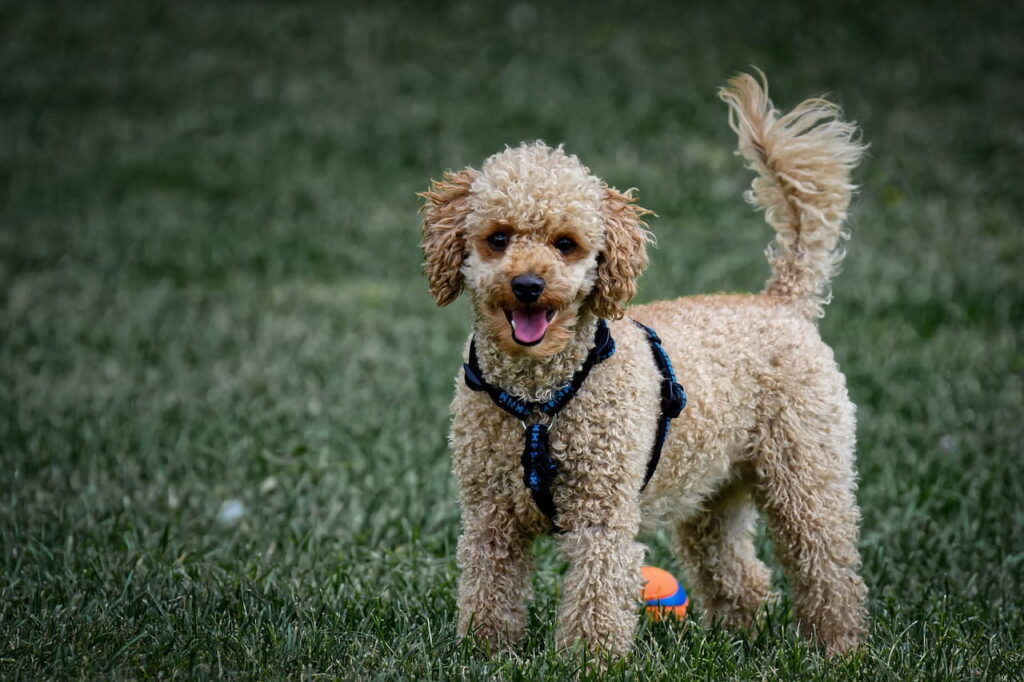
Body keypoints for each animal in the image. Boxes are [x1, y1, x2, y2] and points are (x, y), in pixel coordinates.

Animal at [419, 73, 868, 655]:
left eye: (566, 244)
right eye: (498, 238)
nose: (528, 285)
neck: (538, 397)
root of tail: (782, 301)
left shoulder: (601, 512)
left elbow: (596, 594)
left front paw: (588, 659)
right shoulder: (490, 517)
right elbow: (488, 587)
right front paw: (485, 649)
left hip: (806, 474)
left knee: (828, 565)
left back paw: (839, 647)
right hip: (712, 489)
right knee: (740, 573)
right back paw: (736, 636)